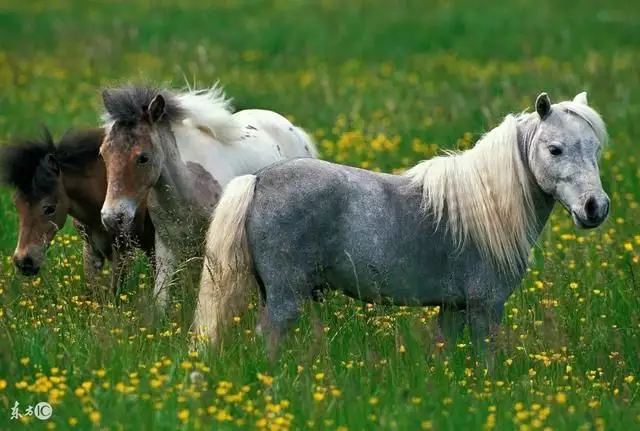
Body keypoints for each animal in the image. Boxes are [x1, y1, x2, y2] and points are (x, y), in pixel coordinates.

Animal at [0, 126, 155, 296]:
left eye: (50, 208)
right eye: (17, 204)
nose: (23, 262)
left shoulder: (124, 251)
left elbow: (115, 292)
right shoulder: (91, 249)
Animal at [99, 83, 318, 308]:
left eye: (143, 157)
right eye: (103, 153)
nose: (111, 218)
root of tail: (295, 131)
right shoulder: (166, 245)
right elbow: (161, 297)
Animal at [194, 92, 608, 364]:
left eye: (596, 150)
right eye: (554, 149)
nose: (596, 207)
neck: (486, 206)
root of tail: (258, 179)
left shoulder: (453, 307)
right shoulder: (484, 306)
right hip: (286, 297)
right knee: (269, 339)